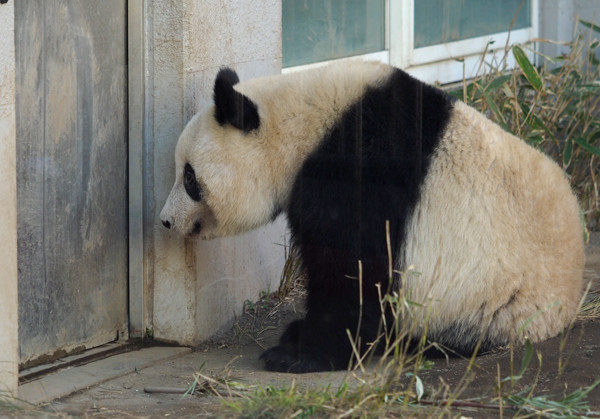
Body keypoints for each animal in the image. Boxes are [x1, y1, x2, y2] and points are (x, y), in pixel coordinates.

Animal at [162, 61, 584, 374]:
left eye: (190, 177)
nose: (166, 221)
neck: (304, 122)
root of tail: (569, 301)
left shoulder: (359, 172)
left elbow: (353, 269)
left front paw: (300, 355)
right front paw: (298, 339)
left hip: (492, 302)